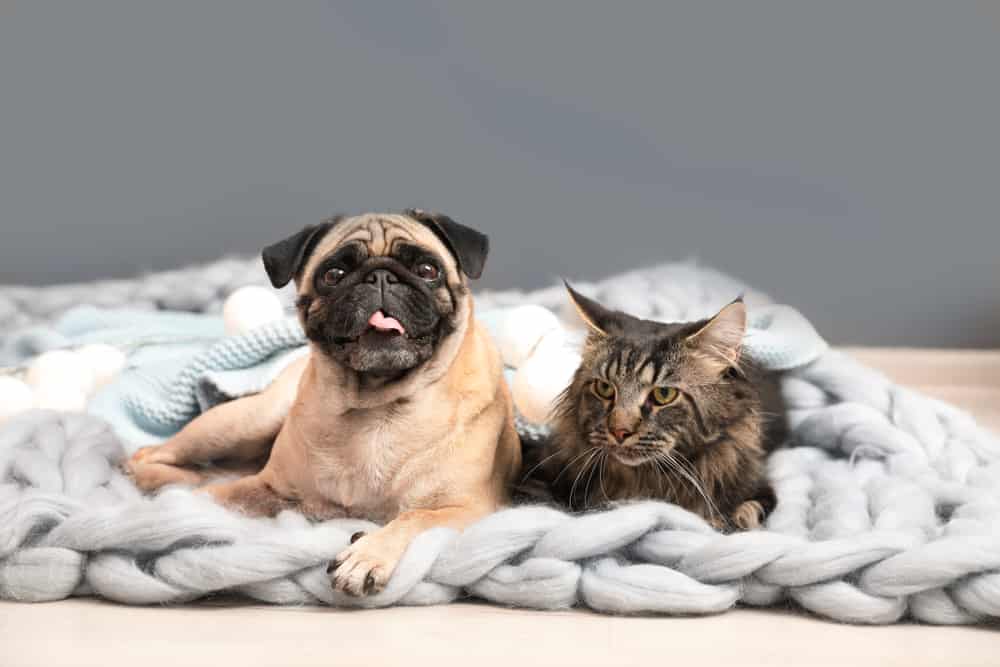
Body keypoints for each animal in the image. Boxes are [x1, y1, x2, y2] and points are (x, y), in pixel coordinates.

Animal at [127, 209, 524, 596]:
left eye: (428, 270)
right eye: (334, 275)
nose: (380, 277)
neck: (378, 405)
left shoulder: (473, 510)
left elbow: (415, 517)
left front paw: (366, 555)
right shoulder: (268, 488)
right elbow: (218, 496)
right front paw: (177, 513)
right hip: (245, 421)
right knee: (150, 455)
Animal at [524, 286, 780, 532]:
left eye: (663, 394)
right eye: (604, 388)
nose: (619, 431)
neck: (643, 479)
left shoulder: (758, 487)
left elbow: (745, 511)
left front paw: (726, 521)